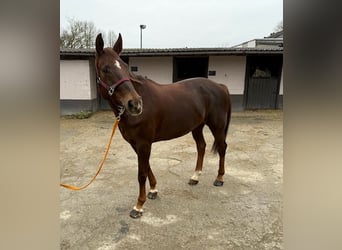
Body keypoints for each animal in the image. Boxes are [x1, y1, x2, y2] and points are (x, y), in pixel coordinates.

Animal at [95, 32, 231, 217]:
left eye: (124, 66)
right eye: (106, 69)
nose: (135, 104)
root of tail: (220, 86)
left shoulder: (144, 143)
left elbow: (141, 173)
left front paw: (138, 206)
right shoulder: (136, 144)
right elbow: (147, 168)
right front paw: (153, 191)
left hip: (217, 126)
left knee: (222, 147)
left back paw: (219, 178)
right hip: (197, 126)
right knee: (201, 146)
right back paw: (195, 177)